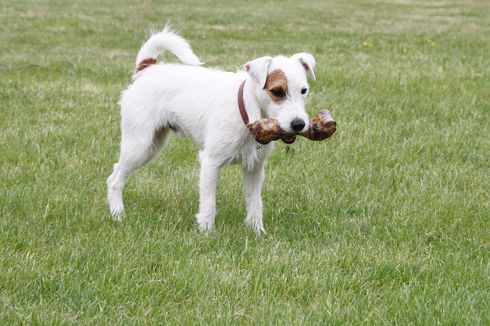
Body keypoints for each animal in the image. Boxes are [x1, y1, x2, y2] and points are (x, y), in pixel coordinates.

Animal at [107, 26, 316, 233]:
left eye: (304, 90)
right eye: (277, 91)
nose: (299, 124)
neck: (247, 110)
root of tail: (147, 69)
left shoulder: (254, 169)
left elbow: (255, 203)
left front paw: (257, 231)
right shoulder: (210, 163)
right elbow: (209, 203)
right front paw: (206, 232)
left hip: (153, 146)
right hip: (139, 145)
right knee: (115, 179)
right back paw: (118, 215)